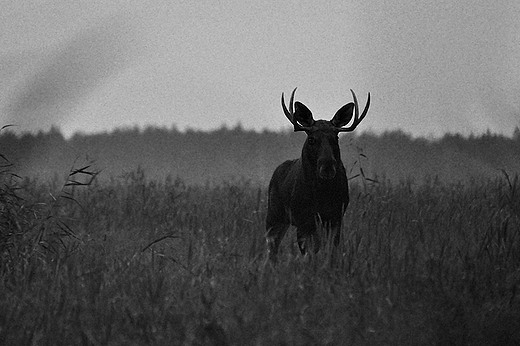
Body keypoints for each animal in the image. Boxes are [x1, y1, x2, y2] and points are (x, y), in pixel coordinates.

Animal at [266, 88, 372, 260]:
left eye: (335, 137)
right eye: (311, 139)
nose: (327, 166)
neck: (322, 195)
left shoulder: (335, 216)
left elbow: (330, 249)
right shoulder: (303, 218)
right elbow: (309, 252)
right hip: (274, 214)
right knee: (271, 248)